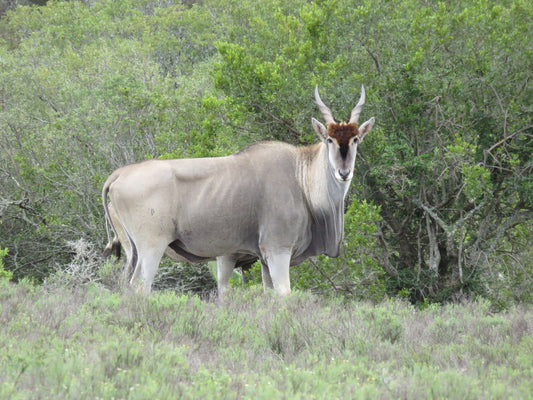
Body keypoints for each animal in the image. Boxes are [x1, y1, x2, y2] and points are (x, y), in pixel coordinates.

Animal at [103, 85, 374, 296]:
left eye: (355, 140)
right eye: (329, 139)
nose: (343, 172)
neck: (301, 176)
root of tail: (119, 174)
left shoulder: (263, 259)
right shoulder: (277, 250)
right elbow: (284, 295)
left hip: (133, 251)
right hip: (151, 247)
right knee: (140, 287)